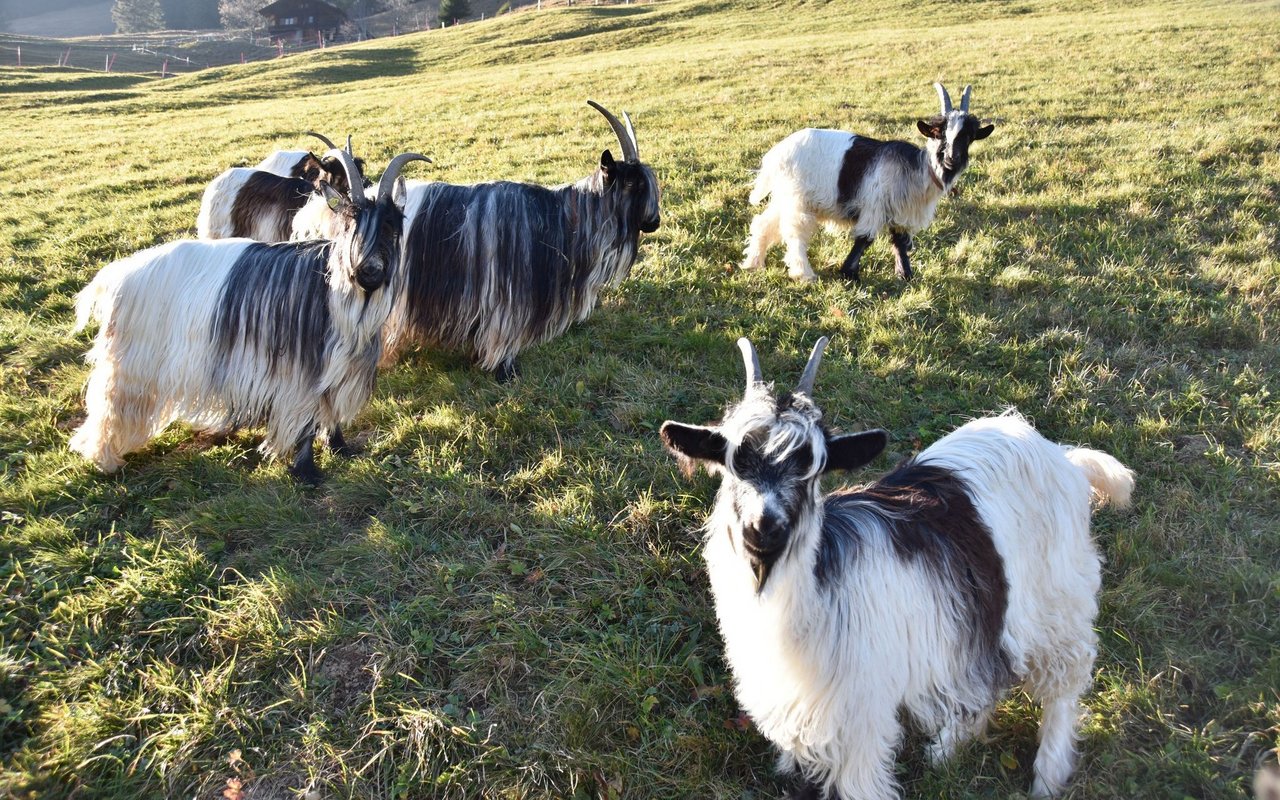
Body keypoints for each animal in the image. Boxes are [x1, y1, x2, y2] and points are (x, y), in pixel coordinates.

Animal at [71, 147, 424, 483]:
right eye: (350, 224)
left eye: (392, 227)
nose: (368, 272)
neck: (330, 288)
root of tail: (116, 276)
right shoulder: (299, 372)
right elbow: (306, 418)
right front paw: (306, 470)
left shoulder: (337, 367)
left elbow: (330, 408)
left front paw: (339, 447)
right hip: (130, 369)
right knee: (109, 406)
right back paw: (105, 460)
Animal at [665, 337, 1136, 798]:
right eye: (735, 464)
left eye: (812, 470)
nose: (764, 527)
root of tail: (1064, 456)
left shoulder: (861, 711)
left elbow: (859, 781)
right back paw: (946, 750)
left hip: (1059, 596)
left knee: (1064, 677)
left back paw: (1047, 776)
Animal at [742, 82, 998, 282]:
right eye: (939, 133)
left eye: (969, 137)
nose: (951, 158)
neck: (919, 169)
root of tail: (775, 155)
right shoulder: (875, 204)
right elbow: (865, 239)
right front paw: (849, 273)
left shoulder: (899, 210)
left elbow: (899, 241)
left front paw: (905, 274)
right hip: (798, 199)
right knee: (794, 233)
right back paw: (804, 274)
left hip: (784, 197)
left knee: (763, 223)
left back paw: (753, 263)